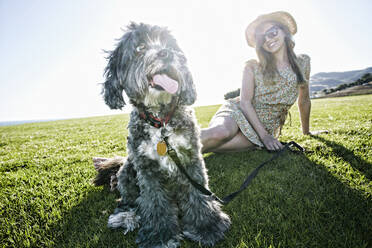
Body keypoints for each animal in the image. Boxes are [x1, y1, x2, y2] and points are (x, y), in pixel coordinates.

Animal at [93, 22, 230, 247]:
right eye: (140, 48)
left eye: (170, 45)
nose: (166, 53)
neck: (160, 122)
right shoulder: (146, 170)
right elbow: (154, 202)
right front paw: (160, 236)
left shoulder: (191, 159)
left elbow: (198, 194)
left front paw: (206, 227)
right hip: (127, 172)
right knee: (128, 201)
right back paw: (125, 216)